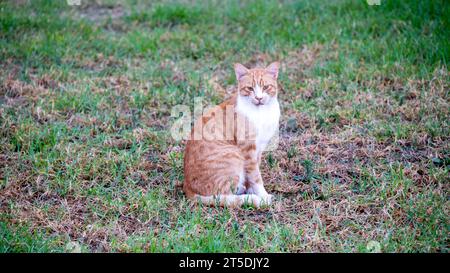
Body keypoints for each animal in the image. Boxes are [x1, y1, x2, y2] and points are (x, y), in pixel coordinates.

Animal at [181, 61, 280, 206]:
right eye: (250, 88)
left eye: (266, 87)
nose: (259, 98)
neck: (262, 112)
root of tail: (188, 188)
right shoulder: (248, 150)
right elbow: (256, 176)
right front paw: (262, 195)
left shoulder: (259, 150)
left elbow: (251, 175)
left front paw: (251, 189)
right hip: (233, 154)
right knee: (225, 196)